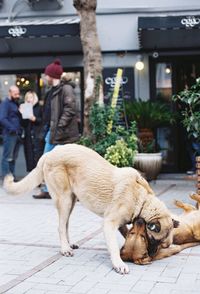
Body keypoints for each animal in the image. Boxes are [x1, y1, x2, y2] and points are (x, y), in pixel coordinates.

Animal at [3, 144, 177, 274]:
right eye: (155, 240)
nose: (152, 255)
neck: (141, 199)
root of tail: (51, 152)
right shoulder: (109, 223)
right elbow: (114, 246)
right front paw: (119, 263)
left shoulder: (119, 223)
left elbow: (126, 232)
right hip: (65, 200)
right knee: (60, 226)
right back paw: (65, 248)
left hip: (71, 201)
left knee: (65, 224)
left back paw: (69, 244)